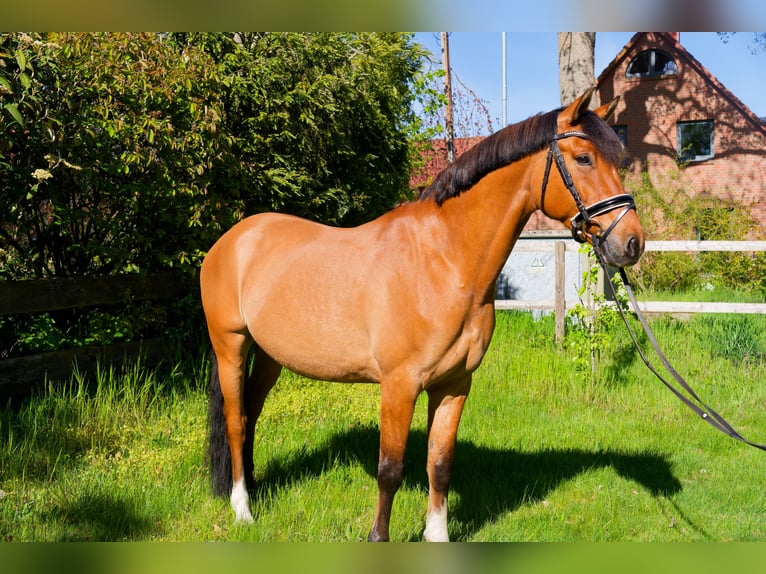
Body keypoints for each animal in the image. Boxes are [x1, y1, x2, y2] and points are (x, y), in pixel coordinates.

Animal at [200, 87, 645, 541]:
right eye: (584, 158)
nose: (632, 242)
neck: (444, 261)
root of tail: (232, 239)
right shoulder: (399, 385)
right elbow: (390, 469)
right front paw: (378, 538)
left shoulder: (454, 384)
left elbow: (440, 463)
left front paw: (437, 535)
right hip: (230, 346)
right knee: (236, 421)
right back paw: (242, 508)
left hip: (270, 356)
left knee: (252, 414)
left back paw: (254, 488)